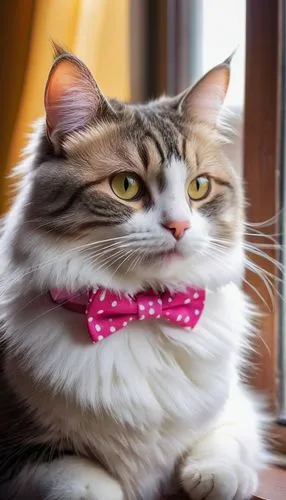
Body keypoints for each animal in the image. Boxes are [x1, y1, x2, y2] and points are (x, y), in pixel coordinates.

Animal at [0, 47, 268, 500]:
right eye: (126, 186)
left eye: (198, 188)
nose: (180, 226)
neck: (144, 309)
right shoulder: (21, 450)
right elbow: (86, 478)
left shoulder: (235, 404)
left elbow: (226, 440)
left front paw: (214, 478)